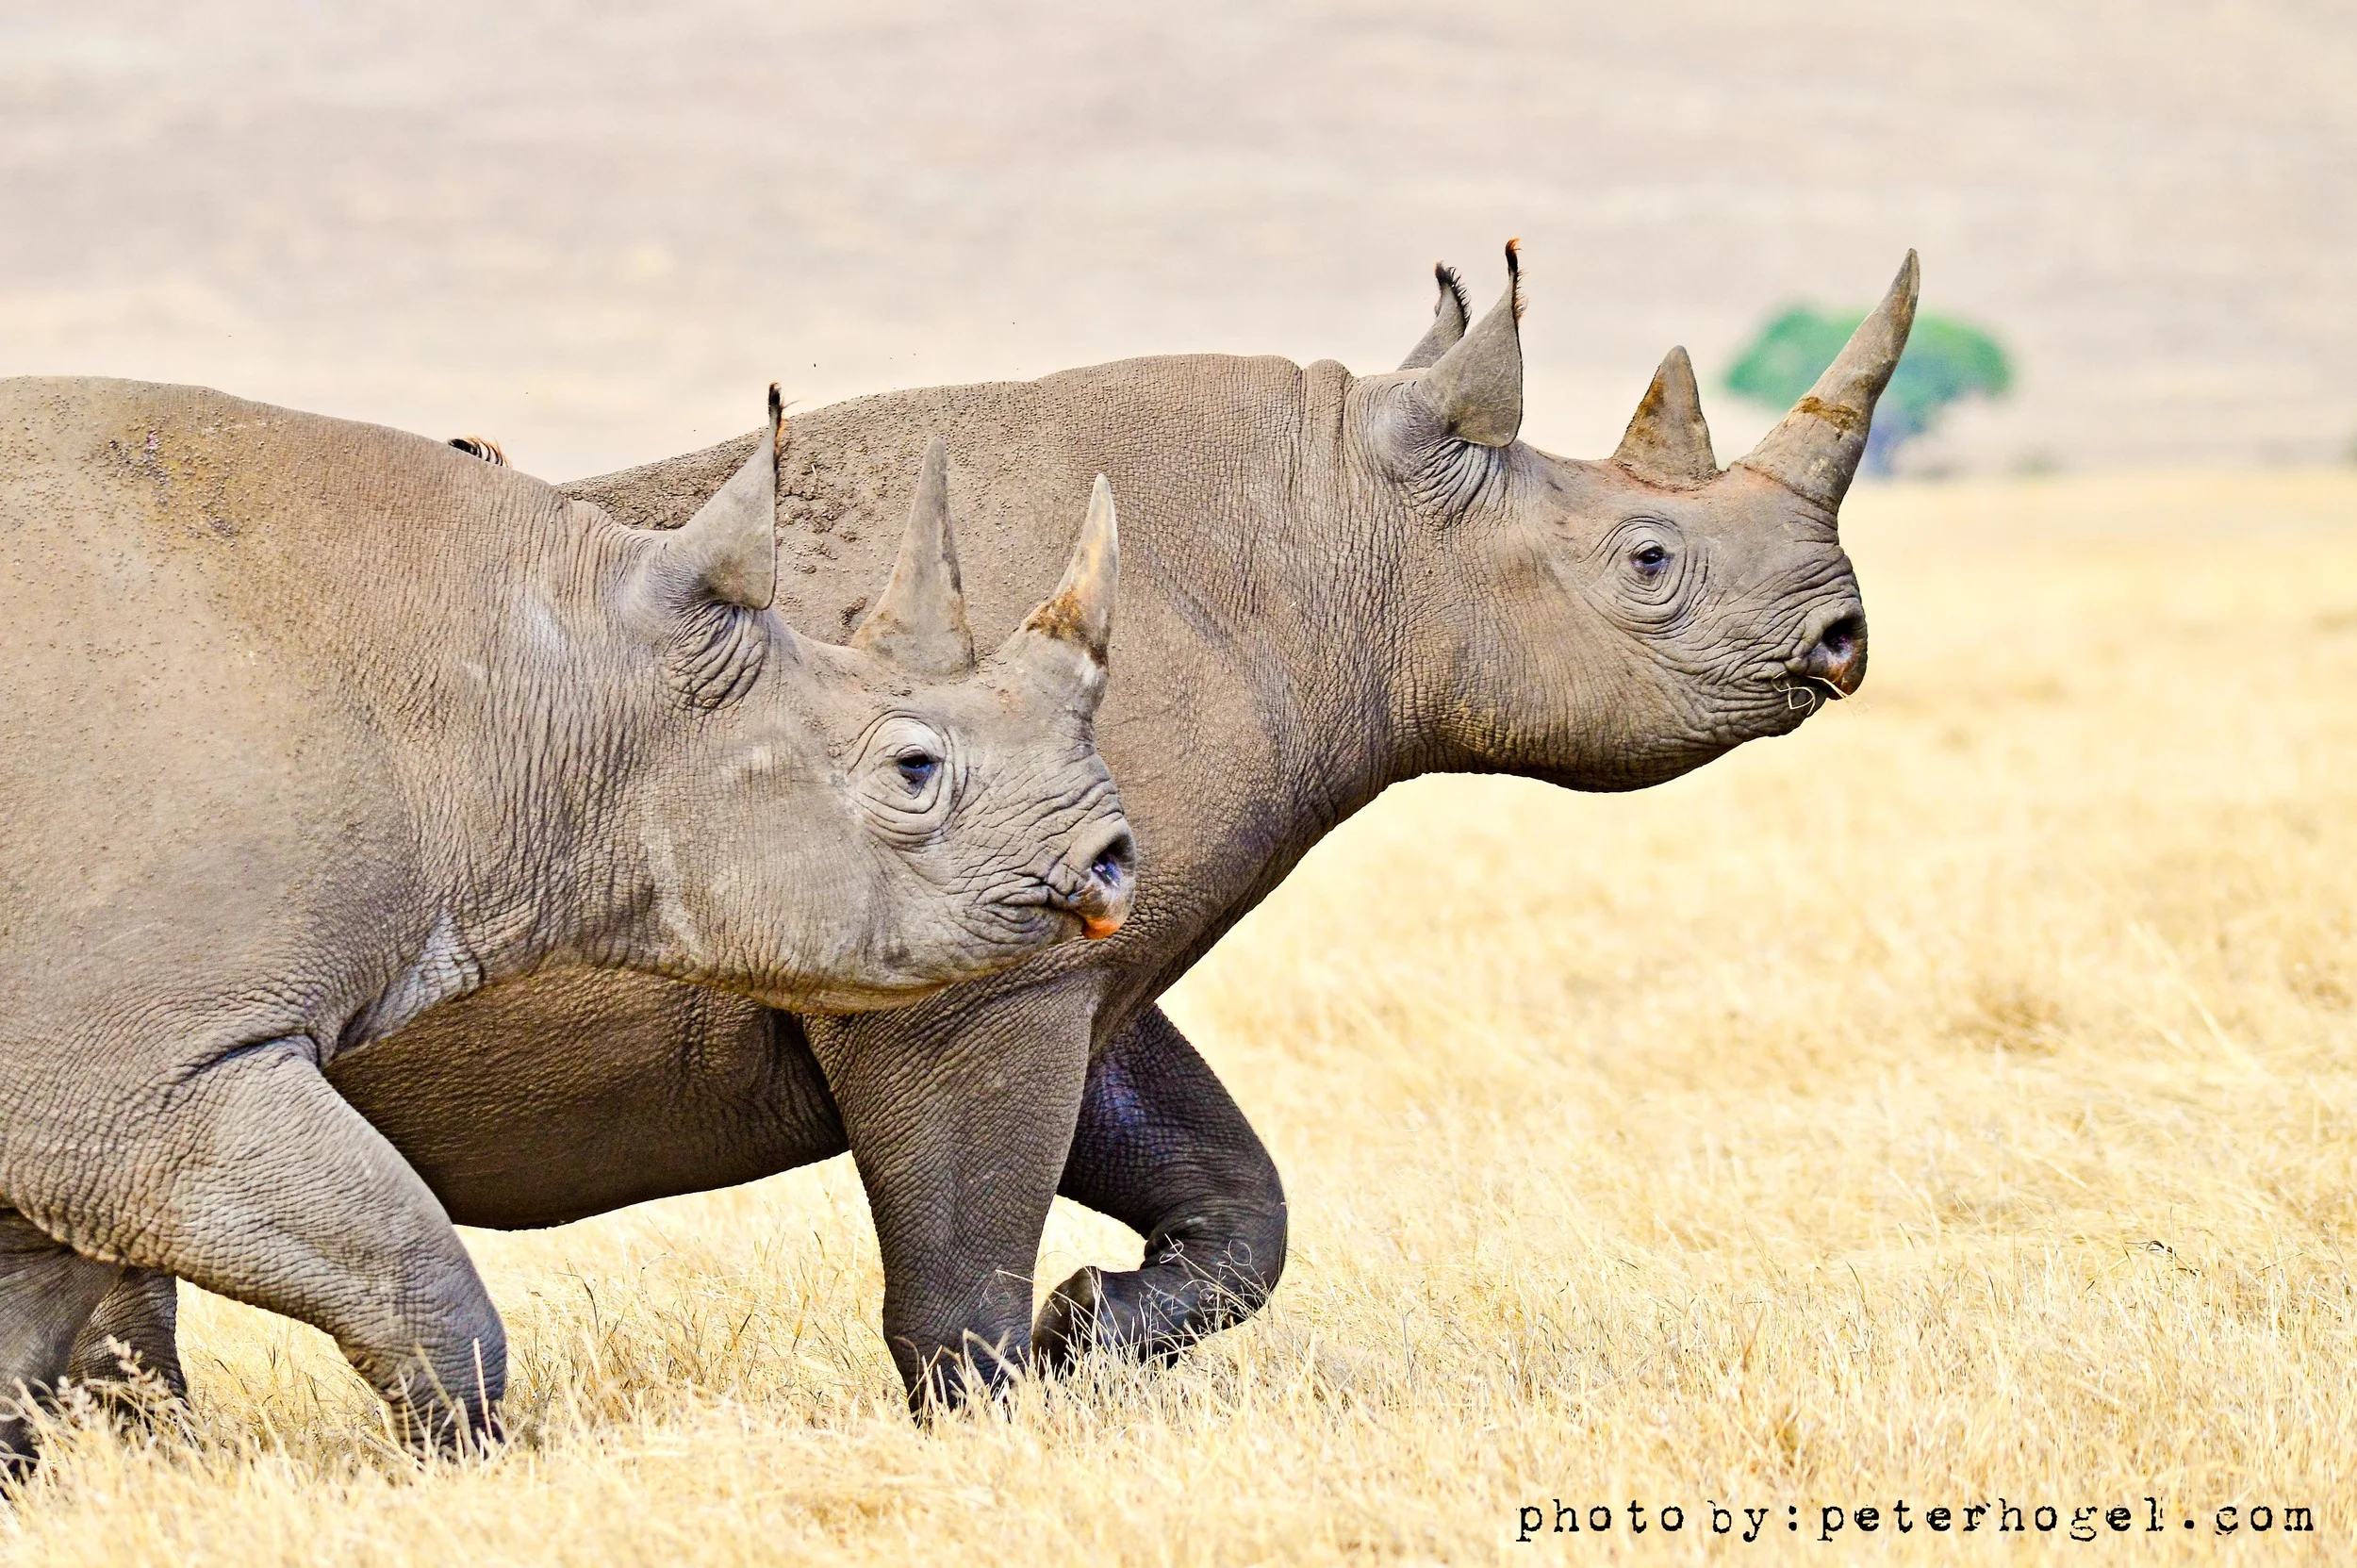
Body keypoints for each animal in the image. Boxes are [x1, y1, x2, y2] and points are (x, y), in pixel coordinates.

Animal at [0, 381, 1136, 1466]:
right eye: (914, 768)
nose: (1114, 857)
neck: (545, 686)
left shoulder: (83, 1106)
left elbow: (23, 1346)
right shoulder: (139, 1078)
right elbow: (413, 1276)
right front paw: (466, 1470)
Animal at [73, 246, 1917, 1419]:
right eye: (1650, 564)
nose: (1843, 640)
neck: (1345, 538)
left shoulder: (1074, 928)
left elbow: (1235, 1191)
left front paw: (1095, 1329)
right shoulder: (973, 979)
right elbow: (963, 1245)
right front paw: (995, 1409)